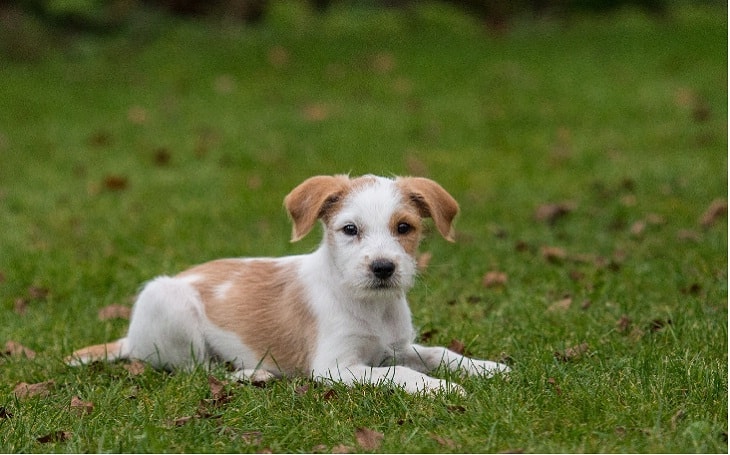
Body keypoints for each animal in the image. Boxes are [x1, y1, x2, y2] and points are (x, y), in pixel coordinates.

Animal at [67, 176, 506, 394]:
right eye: (350, 230)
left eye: (404, 228)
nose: (383, 268)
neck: (370, 305)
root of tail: (130, 339)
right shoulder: (335, 366)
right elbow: (401, 375)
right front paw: (442, 389)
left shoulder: (394, 347)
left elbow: (438, 353)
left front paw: (486, 368)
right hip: (168, 302)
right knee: (197, 369)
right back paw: (252, 375)